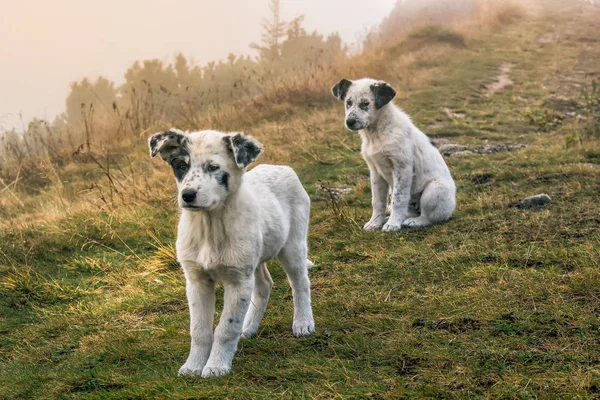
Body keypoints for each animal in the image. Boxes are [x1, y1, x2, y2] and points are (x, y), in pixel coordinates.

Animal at [148, 130, 316, 376]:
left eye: (213, 167)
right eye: (181, 166)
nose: (187, 195)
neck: (210, 226)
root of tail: (282, 167)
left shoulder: (237, 281)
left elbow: (226, 328)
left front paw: (216, 365)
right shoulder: (197, 280)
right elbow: (199, 329)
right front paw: (193, 365)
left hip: (292, 246)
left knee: (300, 283)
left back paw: (303, 323)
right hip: (254, 258)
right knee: (264, 285)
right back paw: (249, 327)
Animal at [332, 78, 454, 231]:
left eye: (365, 103)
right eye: (348, 102)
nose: (349, 122)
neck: (377, 133)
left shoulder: (402, 168)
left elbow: (398, 198)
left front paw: (393, 224)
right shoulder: (375, 171)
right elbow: (377, 200)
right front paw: (375, 222)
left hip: (435, 189)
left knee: (429, 217)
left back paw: (413, 221)